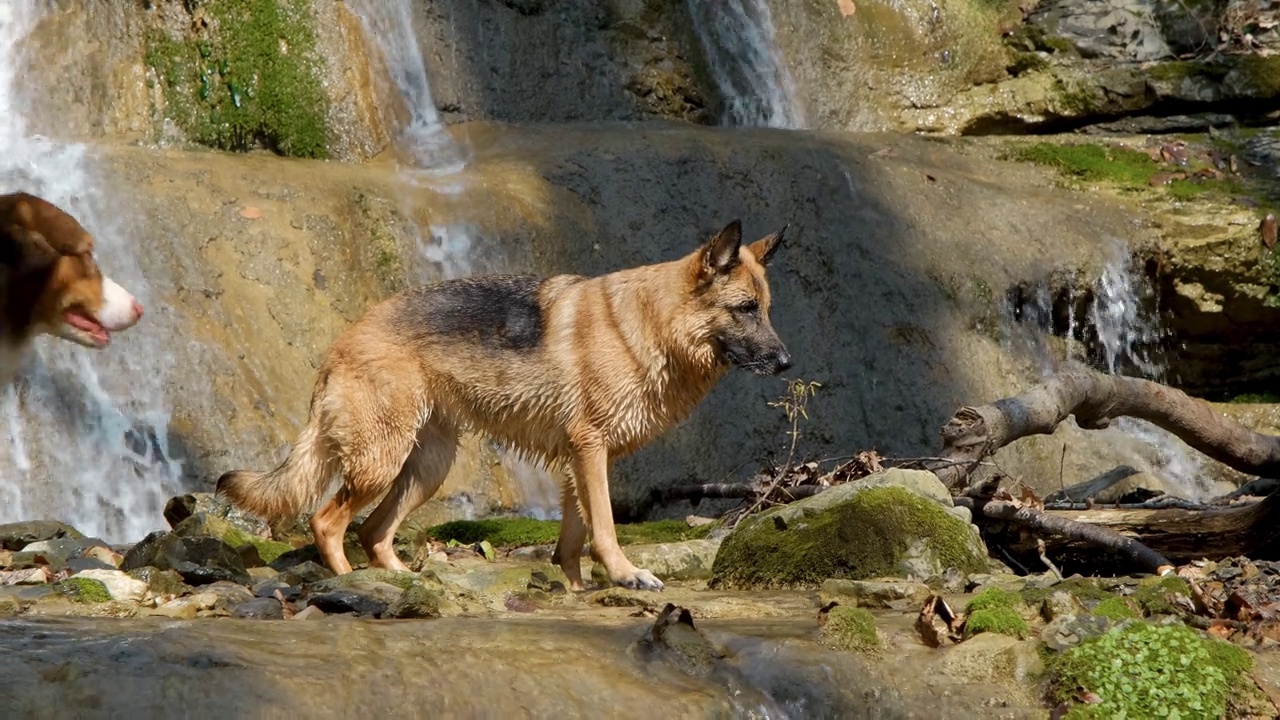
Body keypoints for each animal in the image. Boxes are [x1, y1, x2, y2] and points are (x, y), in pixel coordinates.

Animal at [217, 220, 788, 589]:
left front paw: (578, 589)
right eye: (745, 309)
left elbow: (571, 541)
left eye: (767, 309)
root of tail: (338, 345)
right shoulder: (590, 452)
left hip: (425, 471)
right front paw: (626, 575)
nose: (786, 362)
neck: (649, 323)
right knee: (328, 523)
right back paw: (349, 583)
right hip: (382, 463)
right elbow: (604, 527)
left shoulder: (577, 461)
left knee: (374, 532)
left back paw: (406, 583)